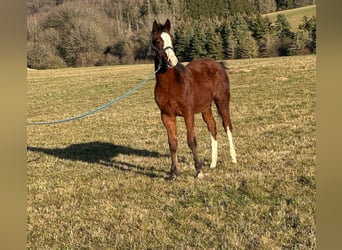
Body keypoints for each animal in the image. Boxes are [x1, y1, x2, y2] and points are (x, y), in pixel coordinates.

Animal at [152, 19, 238, 180]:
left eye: (171, 39)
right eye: (158, 41)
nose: (172, 61)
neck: (170, 85)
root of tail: (218, 64)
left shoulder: (188, 113)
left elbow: (191, 140)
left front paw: (199, 171)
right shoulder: (166, 115)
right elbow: (172, 143)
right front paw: (173, 173)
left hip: (222, 101)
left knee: (227, 125)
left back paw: (233, 158)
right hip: (206, 107)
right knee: (212, 127)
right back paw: (213, 163)